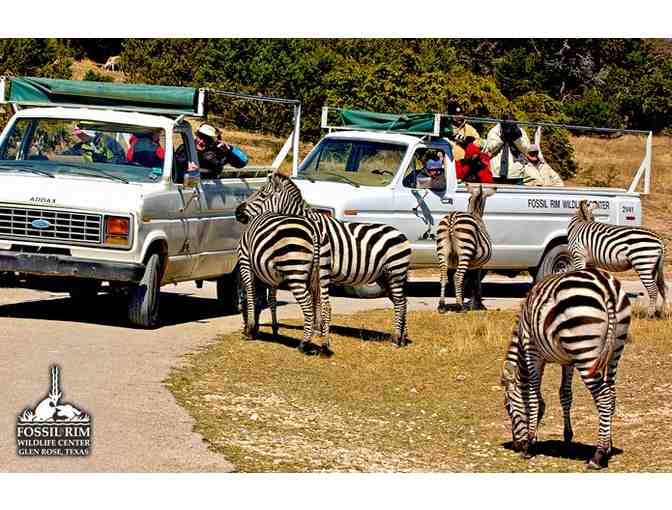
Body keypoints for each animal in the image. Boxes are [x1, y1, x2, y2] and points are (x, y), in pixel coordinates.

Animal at [236, 209, 330, 352]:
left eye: (241, 311)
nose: (246, 330)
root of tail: (314, 231)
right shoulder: (271, 277)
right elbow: (271, 301)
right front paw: (275, 329)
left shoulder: (245, 261)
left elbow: (251, 297)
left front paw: (250, 328)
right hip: (323, 272)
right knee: (325, 305)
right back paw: (325, 343)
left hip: (294, 269)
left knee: (308, 305)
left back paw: (304, 343)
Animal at [502, 266, 632, 470]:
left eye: (508, 406)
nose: (516, 445)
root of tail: (606, 286)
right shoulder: (568, 361)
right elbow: (565, 394)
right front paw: (567, 437)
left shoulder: (532, 352)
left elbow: (533, 396)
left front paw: (530, 444)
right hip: (614, 349)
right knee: (611, 394)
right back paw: (608, 446)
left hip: (584, 350)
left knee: (603, 397)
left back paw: (598, 456)